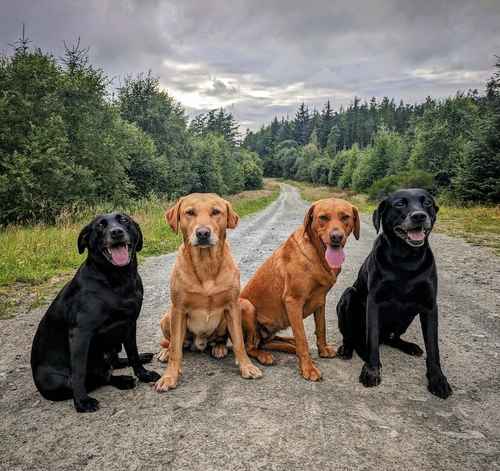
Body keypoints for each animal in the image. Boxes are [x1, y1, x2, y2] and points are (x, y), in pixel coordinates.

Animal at [30, 214, 160, 412]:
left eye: (124, 220)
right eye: (100, 225)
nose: (116, 232)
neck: (118, 280)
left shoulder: (130, 323)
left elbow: (133, 353)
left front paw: (143, 374)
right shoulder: (80, 333)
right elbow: (79, 371)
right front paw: (81, 402)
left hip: (114, 345)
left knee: (113, 364)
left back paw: (140, 360)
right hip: (54, 379)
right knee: (99, 377)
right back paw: (121, 381)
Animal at [336, 188, 454, 398]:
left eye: (427, 203)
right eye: (400, 204)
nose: (419, 216)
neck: (405, 259)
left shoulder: (429, 306)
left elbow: (434, 348)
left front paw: (438, 379)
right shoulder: (374, 302)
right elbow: (372, 339)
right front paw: (371, 370)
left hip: (408, 316)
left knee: (392, 338)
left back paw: (409, 346)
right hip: (348, 296)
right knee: (353, 336)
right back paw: (347, 348)